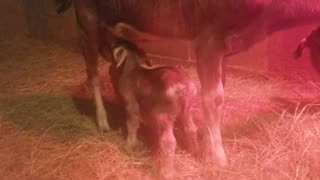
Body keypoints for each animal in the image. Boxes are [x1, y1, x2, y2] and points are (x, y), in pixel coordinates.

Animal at [110, 40, 199, 179]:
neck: (132, 70)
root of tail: (183, 88)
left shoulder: (130, 102)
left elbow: (131, 124)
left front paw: (129, 146)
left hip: (163, 113)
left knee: (169, 141)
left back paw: (165, 173)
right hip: (188, 109)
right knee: (191, 129)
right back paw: (194, 152)